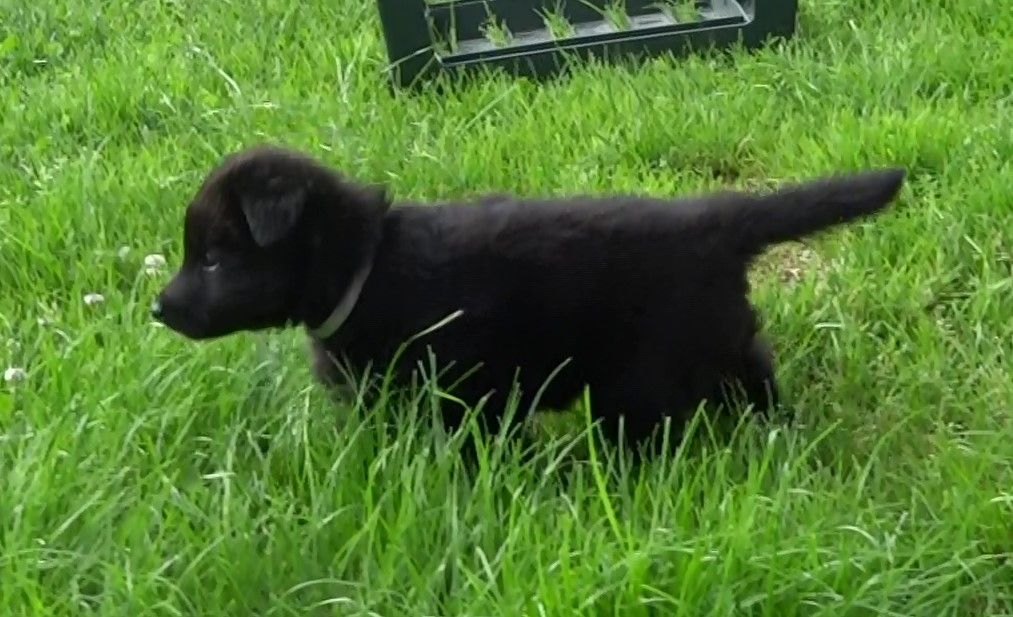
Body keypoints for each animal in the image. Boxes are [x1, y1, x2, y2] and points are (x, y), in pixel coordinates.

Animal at [152, 145, 905, 451]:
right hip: (720, 334)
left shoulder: (473, 394)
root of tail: (714, 219)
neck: (367, 265)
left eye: (214, 258)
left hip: (639, 375)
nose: (159, 308)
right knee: (757, 377)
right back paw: (784, 436)